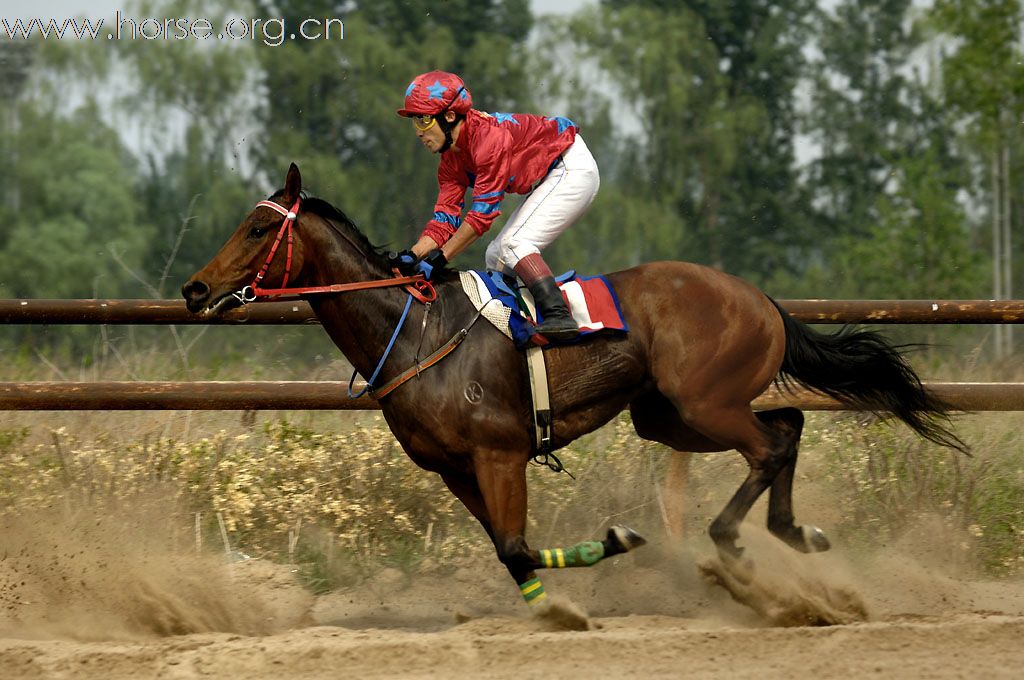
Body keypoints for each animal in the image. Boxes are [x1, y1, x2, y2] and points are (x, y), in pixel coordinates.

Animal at [186, 165, 966, 610]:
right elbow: (511, 551)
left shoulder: (499, 453)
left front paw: (606, 556)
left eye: (255, 229)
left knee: (767, 448)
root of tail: (763, 300)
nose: (195, 289)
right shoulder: (454, 469)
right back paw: (795, 532)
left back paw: (738, 545)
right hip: (668, 415)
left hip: (703, 400)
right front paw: (558, 599)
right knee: (787, 429)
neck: (417, 335)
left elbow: (515, 546)